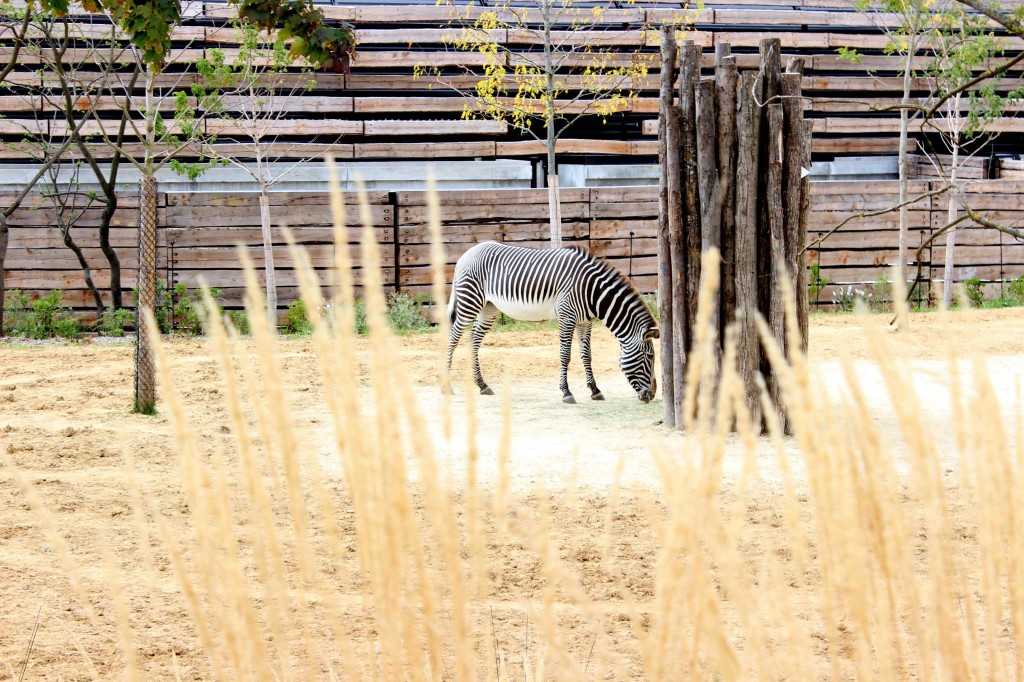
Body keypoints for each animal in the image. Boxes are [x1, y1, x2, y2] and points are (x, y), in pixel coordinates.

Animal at [444, 238, 659, 401]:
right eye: (650, 357)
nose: (652, 394)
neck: (591, 291)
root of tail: (466, 253)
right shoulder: (567, 316)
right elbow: (565, 355)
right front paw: (566, 392)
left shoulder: (584, 321)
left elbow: (586, 355)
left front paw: (595, 390)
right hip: (469, 302)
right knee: (453, 337)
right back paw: (447, 386)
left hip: (489, 308)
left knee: (473, 339)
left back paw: (482, 385)